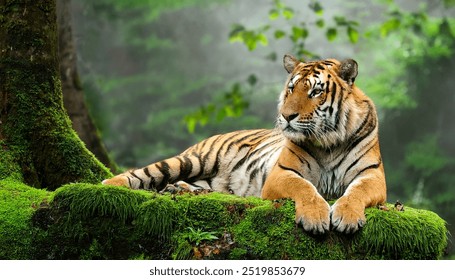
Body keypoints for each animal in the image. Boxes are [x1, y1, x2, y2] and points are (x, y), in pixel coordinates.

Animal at [101, 54, 386, 234]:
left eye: (315, 91)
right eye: (291, 89)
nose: (286, 115)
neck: (329, 140)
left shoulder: (372, 176)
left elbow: (356, 192)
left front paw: (346, 216)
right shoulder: (282, 173)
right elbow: (305, 187)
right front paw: (315, 217)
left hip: (208, 180)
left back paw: (181, 189)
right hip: (192, 160)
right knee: (143, 172)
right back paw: (109, 185)